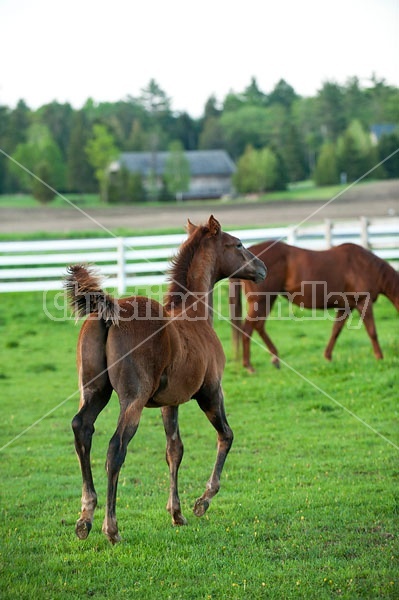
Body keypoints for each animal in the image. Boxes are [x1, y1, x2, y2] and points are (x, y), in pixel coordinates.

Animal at [65, 216, 266, 544]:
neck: (195, 314)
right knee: (115, 449)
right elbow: (226, 435)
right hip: (132, 399)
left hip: (95, 391)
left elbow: (174, 450)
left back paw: (85, 517)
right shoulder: (211, 392)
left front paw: (177, 513)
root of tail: (109, 313)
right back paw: (112, 528)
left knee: (82, 429)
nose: (261, 268)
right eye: (237, 244)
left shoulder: (168, 403)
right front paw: (202, 502)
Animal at [230, 239, 399, 370]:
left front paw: (328, 357)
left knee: (258, 326)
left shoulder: (346, 307)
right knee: (249, 328)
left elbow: (336, 331)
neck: (364, 265)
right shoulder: (364, 302)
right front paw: (380, 357)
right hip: (262, 300)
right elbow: (372, 332)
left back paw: (274, 359)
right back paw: (249, 366)